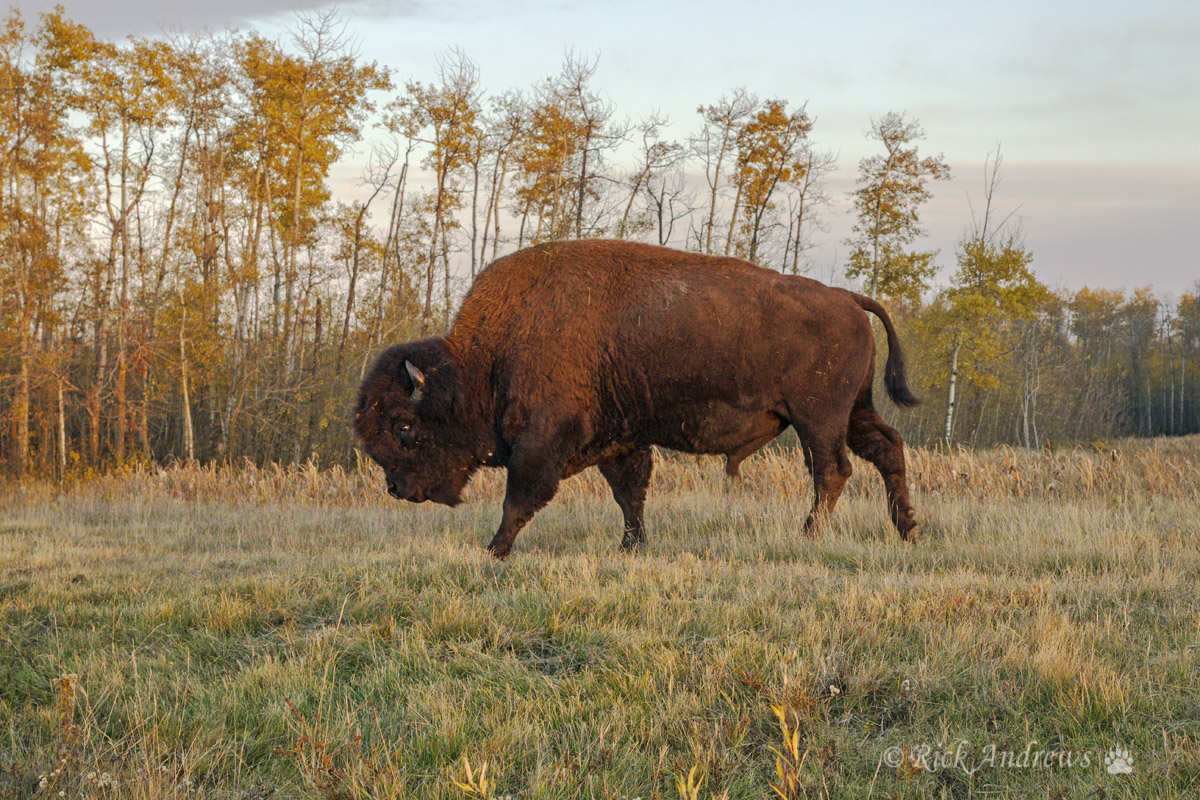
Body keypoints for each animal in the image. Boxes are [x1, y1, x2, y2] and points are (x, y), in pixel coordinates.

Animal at [355, 239, 920, 558]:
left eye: (404, 426)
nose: (397, 489)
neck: (487, 358)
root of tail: (848, 297)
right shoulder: (620, 440)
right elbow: (630, 494)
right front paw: (632, 547)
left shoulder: (541, 443)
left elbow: (521, 497)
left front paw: (493, 551)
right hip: (853, 411)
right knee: (887, 449)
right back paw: (908, 530)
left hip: (817, 417)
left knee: (832, 470)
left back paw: (808, 536)